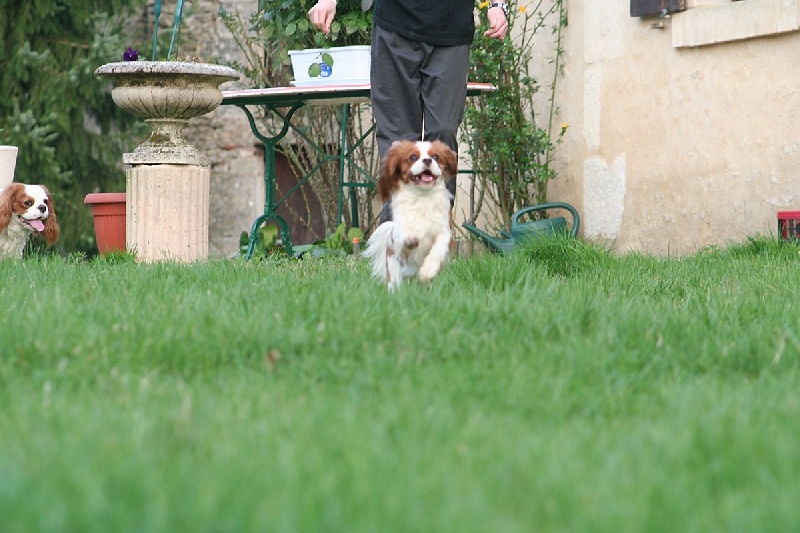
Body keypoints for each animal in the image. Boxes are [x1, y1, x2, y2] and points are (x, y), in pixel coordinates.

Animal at [362, 140, 456, 290]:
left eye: (436, 156)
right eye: (413, 157)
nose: (427, 160)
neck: (422, 197)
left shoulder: (445, 232)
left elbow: (439, 247)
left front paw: (428, 270)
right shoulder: (398, 234)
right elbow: (405, 235)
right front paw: (411, 239)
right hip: (394, 268)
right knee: (395, 282)